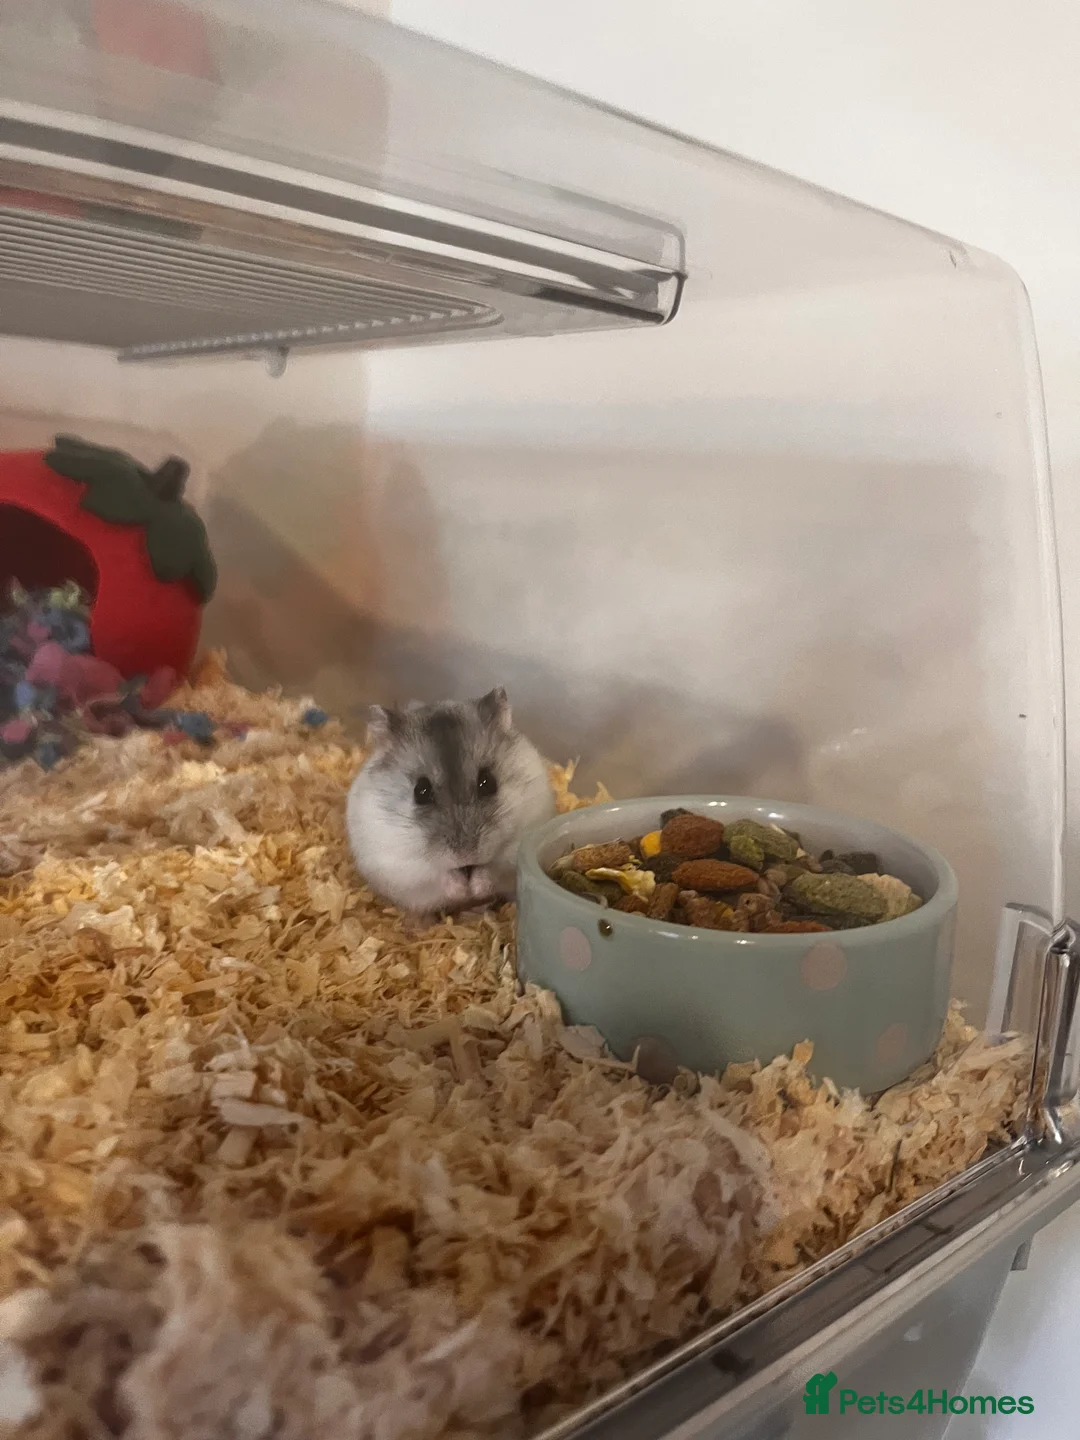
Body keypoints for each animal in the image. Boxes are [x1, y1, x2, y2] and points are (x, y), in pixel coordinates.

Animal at [346, 687, 555, 919]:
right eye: (421, 791)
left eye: (488, 782)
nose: (465, 855)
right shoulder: (402, 865)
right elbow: (437, 876)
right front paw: (463, 889)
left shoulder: (516, 844)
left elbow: (493, 869)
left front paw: (475, 887)